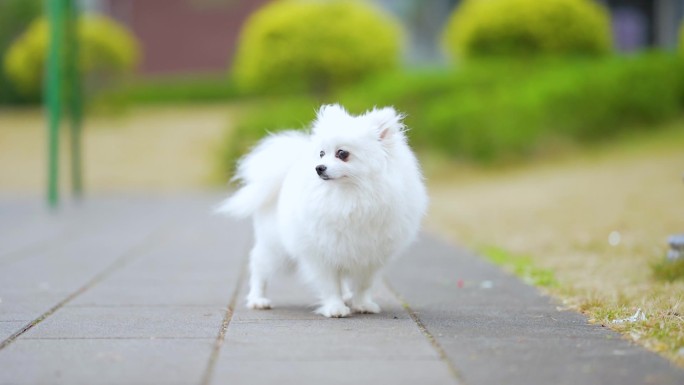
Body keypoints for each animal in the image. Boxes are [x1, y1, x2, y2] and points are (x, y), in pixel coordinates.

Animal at [218, 103, 428, 316]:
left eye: (342, 154)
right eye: (321, 154)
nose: (319, 168)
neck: (350, 196)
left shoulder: (370, 256)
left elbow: (363, 285)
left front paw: (362, 304)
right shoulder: (320, 252)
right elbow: (330, 285)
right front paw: (335, 308)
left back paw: (347, 297)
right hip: (276, 248)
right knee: (259, 267)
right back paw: (258, 300)